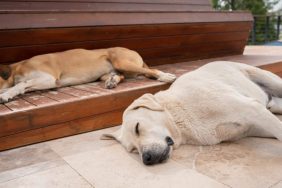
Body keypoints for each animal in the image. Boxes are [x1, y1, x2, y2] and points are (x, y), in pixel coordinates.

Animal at [0, 47, 176, 103]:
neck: (18, 68)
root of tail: (134, 51)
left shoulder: (49, 79)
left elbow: (20, 84)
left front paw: (6, 95)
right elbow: (20, 85)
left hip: (122, 61)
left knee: (151, 71)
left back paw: (166, 76)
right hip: (108, 73)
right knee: (120, 76)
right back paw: (112, 81)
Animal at [101, 61, 282, 164]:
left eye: (137, 128)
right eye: (133, 149)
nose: (147, 159)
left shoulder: (252, 108)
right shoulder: (256, 125)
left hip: (269, 80)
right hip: (271, 105)